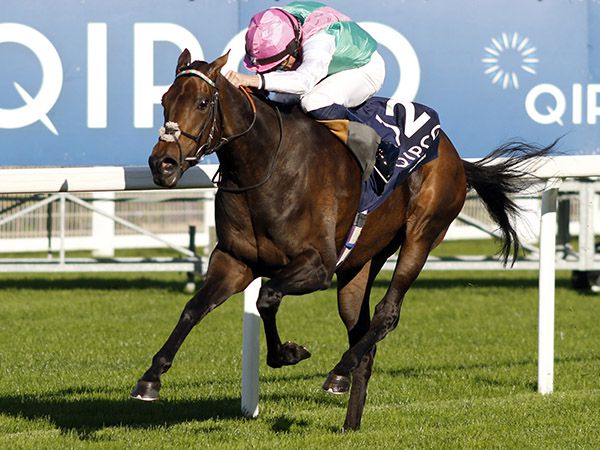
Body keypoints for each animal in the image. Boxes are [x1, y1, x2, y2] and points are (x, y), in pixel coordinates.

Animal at [132, 50, 552, 432]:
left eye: (203, 102)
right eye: (164, 100)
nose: (162, 164)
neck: (264, 166)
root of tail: (454, 154)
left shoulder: (317, 266)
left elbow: (268, 296)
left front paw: (288, 353)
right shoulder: (235, 261)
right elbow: (194, 308)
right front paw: (150, 379)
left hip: (422, 234)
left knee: (386, 314)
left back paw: (339, 372)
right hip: (360, 263)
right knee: (362, 332)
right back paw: (351, 418)